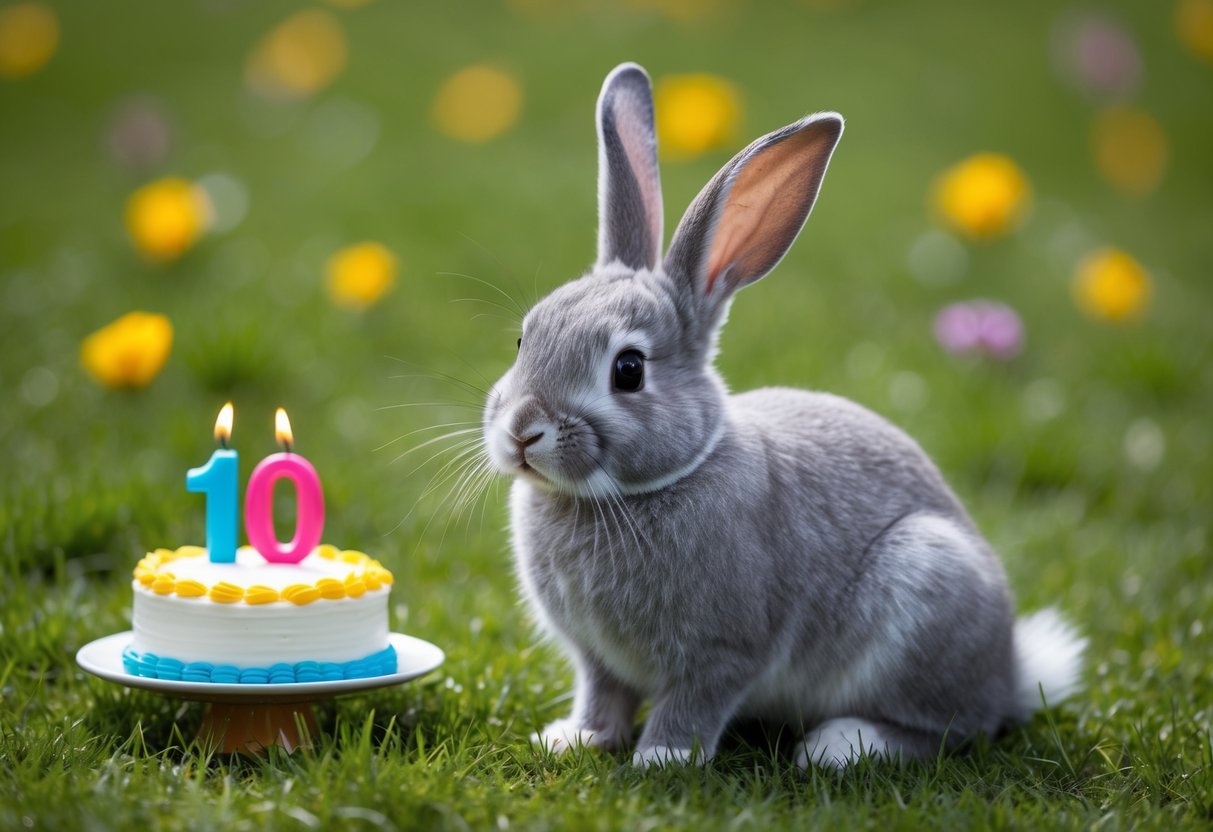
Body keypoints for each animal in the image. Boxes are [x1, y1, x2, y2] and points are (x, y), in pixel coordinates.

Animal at [482, 62, 1085, 769]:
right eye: (523, 339)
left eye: (628, 370)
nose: (523, 432)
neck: (631, 492)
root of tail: (1009, 670)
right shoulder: (597, 658)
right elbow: (602, 694)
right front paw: (575, 739)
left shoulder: (725, 649)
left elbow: (694, 703)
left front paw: (664, 759)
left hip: (927, 583)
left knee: (950, 728)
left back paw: (839, 745)